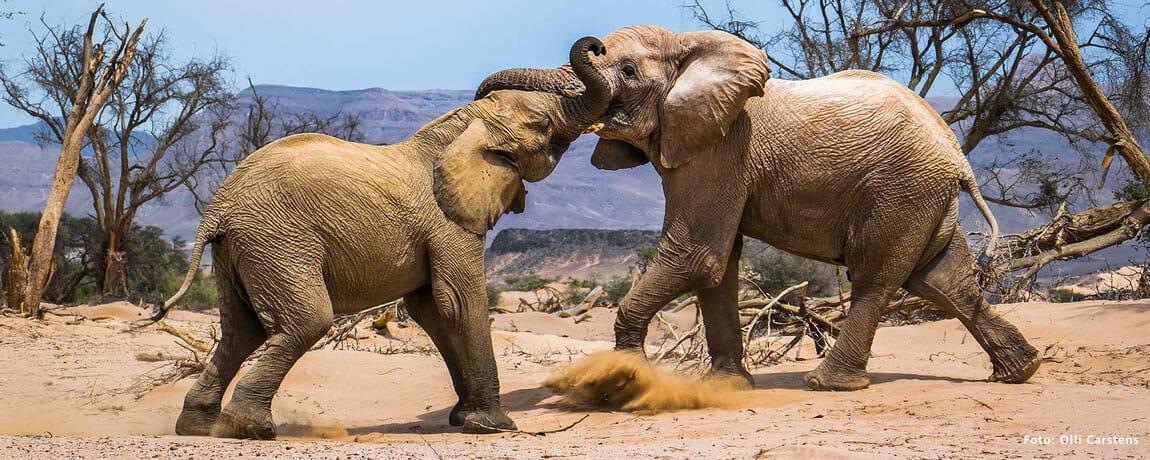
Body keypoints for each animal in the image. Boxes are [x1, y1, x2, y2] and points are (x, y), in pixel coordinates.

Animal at [158, 36, 616, 439]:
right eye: (546, 126)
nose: (598, 46)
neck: (463, 125)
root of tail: (216, 209)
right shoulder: (448, 221)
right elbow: (459, 302)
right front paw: (495, 425)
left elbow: (430, 309)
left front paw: (463, 417)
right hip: (276, 240)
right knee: (306, 321)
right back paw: (250, 428)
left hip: (238, 251)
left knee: (241, 331)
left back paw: (199, 427)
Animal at [476, 25, 1044, 391]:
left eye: (629, 69)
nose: (591, 43)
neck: (689, 48)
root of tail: (958, 157)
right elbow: (718, 266)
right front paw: (727, 387)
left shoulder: (720, 149)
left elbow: (696, 257)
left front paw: (624, 381)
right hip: (926, 197)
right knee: (944, 280)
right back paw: (1020, 372)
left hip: (900, 190)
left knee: (878, 279)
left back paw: (827, 384)